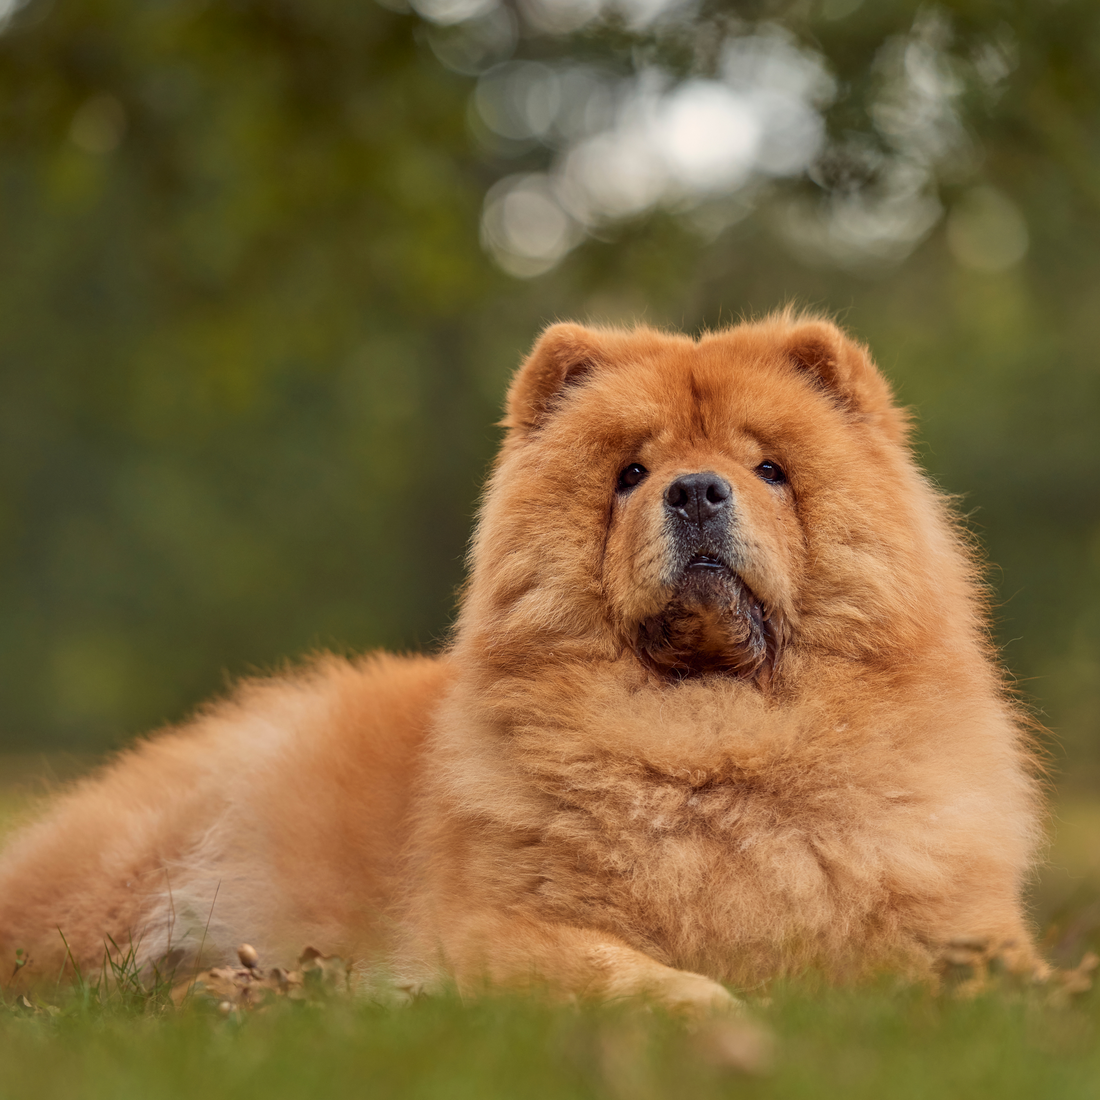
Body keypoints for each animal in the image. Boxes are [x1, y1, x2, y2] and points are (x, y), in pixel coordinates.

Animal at [0, 314, 1042, 1007]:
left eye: (770, 470)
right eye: (631, 473)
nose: (697, 491)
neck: (716, 737)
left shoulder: (955, 920)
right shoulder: (502, 932)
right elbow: (643, 977)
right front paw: (724, 1015)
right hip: (110, 884)